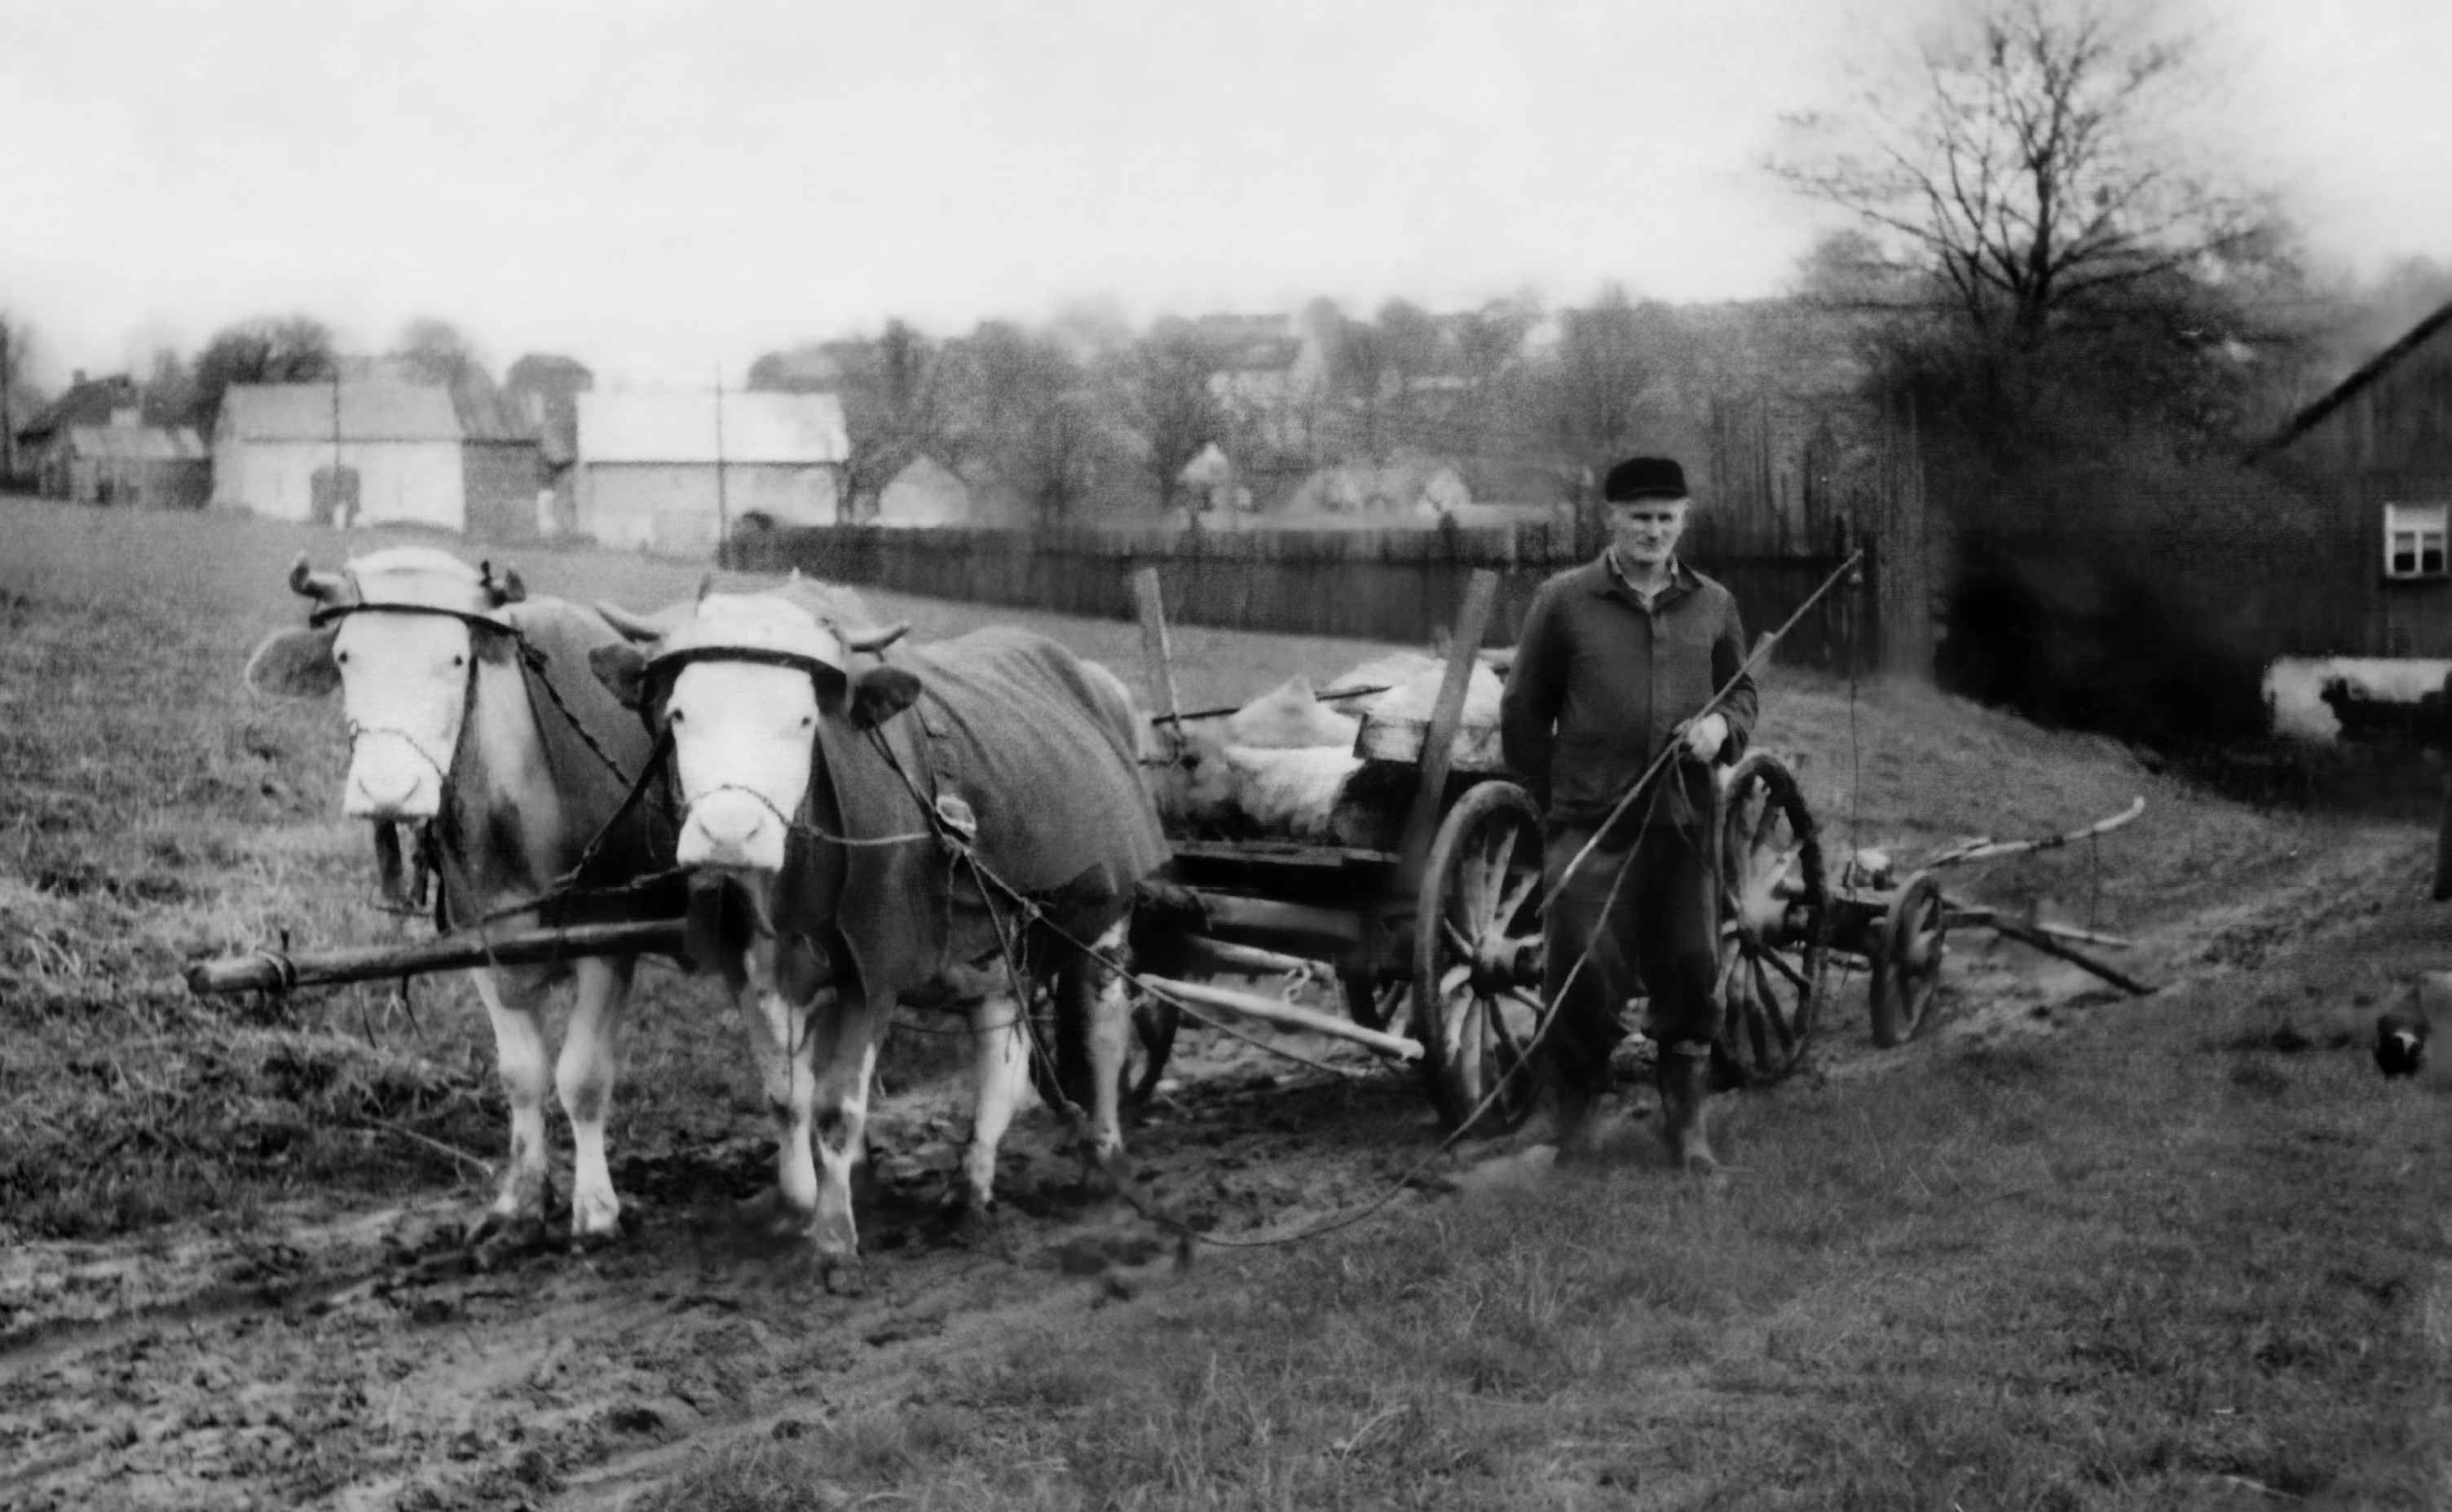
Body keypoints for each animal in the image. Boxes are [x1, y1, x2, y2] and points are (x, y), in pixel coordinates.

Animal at [243, 546, 688, 1249]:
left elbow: (583, 1076)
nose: (389, 788)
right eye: (345, 655)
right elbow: (522, 1074)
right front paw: (520, 1204)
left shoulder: (612, 937)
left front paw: (595, 1208)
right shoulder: (481, 943)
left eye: (455, 658)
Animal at [587, 588, 1171, 1266]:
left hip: (1106, 922)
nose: (729, 833)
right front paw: (797, 1203)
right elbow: (787, 1095)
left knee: (1101, 1031)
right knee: (1002, 1064)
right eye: (679, 712)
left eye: (805, 720)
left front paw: (835, 1235)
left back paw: (1103, 1161)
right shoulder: (752, 970)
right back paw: (971, 1186)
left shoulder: (874, 973)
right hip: (994, 956)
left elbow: (838, 1107)